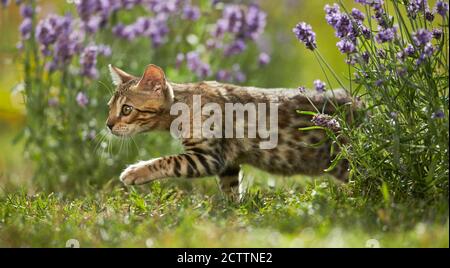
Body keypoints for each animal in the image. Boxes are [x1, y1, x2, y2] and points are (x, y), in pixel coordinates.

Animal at [107, 63, 356, 200]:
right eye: (109, 107)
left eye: (127, 109)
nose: (108, 125)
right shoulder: (227, 163)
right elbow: (230, 189)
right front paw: (234, 211)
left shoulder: (207, 157)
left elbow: (167, 161)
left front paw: (135, 171)